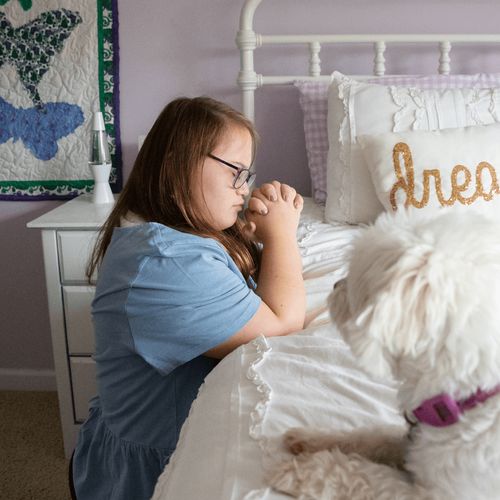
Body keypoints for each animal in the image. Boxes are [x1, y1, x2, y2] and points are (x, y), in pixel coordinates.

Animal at [270, 209, 500, 500]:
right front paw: (314, 438)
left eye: (355, 282)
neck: (469, 397)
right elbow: (372, 435)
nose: (335, 284)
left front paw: (301, 469)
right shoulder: (411, 441)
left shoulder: (438, 494)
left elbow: (363, 475)